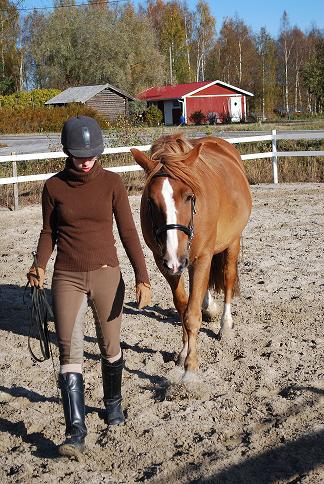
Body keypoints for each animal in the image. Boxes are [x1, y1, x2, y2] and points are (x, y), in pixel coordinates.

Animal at [130, 134, 252, 380]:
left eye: (189, 197)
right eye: (151, 201)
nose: (175, 260)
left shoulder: (201, 257)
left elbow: (192, 315)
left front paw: (190, 368)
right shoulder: (165, 263)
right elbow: (182, 307)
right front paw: (183, 353)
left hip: (231, 243)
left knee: (228, 278)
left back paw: (225, 325)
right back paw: (210, 307)